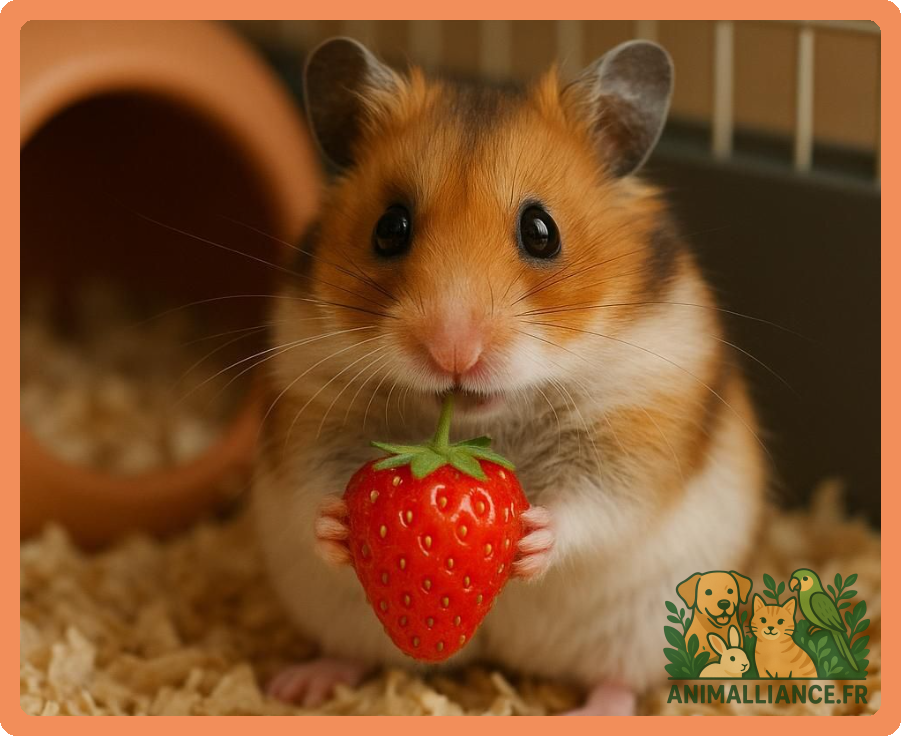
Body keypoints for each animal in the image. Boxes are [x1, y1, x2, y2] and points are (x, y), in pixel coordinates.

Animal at [252, 37, 767, 715]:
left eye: (541, 231)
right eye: (389, 228)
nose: (453, 351)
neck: (479, 428)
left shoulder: (638, 428)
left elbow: (593, 507)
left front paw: (530, 536)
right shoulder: (312, 398)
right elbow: (314, 486)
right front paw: (337, 522)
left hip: (642, 630)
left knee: (619, 681)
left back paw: (591, 712)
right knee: (354, 653)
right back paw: (297, 684)